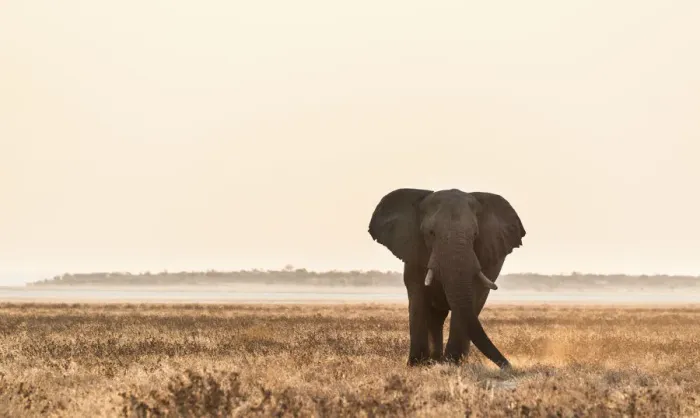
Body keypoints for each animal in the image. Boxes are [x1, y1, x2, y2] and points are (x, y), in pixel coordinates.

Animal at [368, 188, 526, 370]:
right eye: (431, 233)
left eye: (475, 234)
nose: (508, 365)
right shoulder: (414, 250)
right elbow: (418, 296)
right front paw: (417, 364)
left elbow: (471, 298)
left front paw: (452, 363)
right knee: (436, 317)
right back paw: (434, 360)